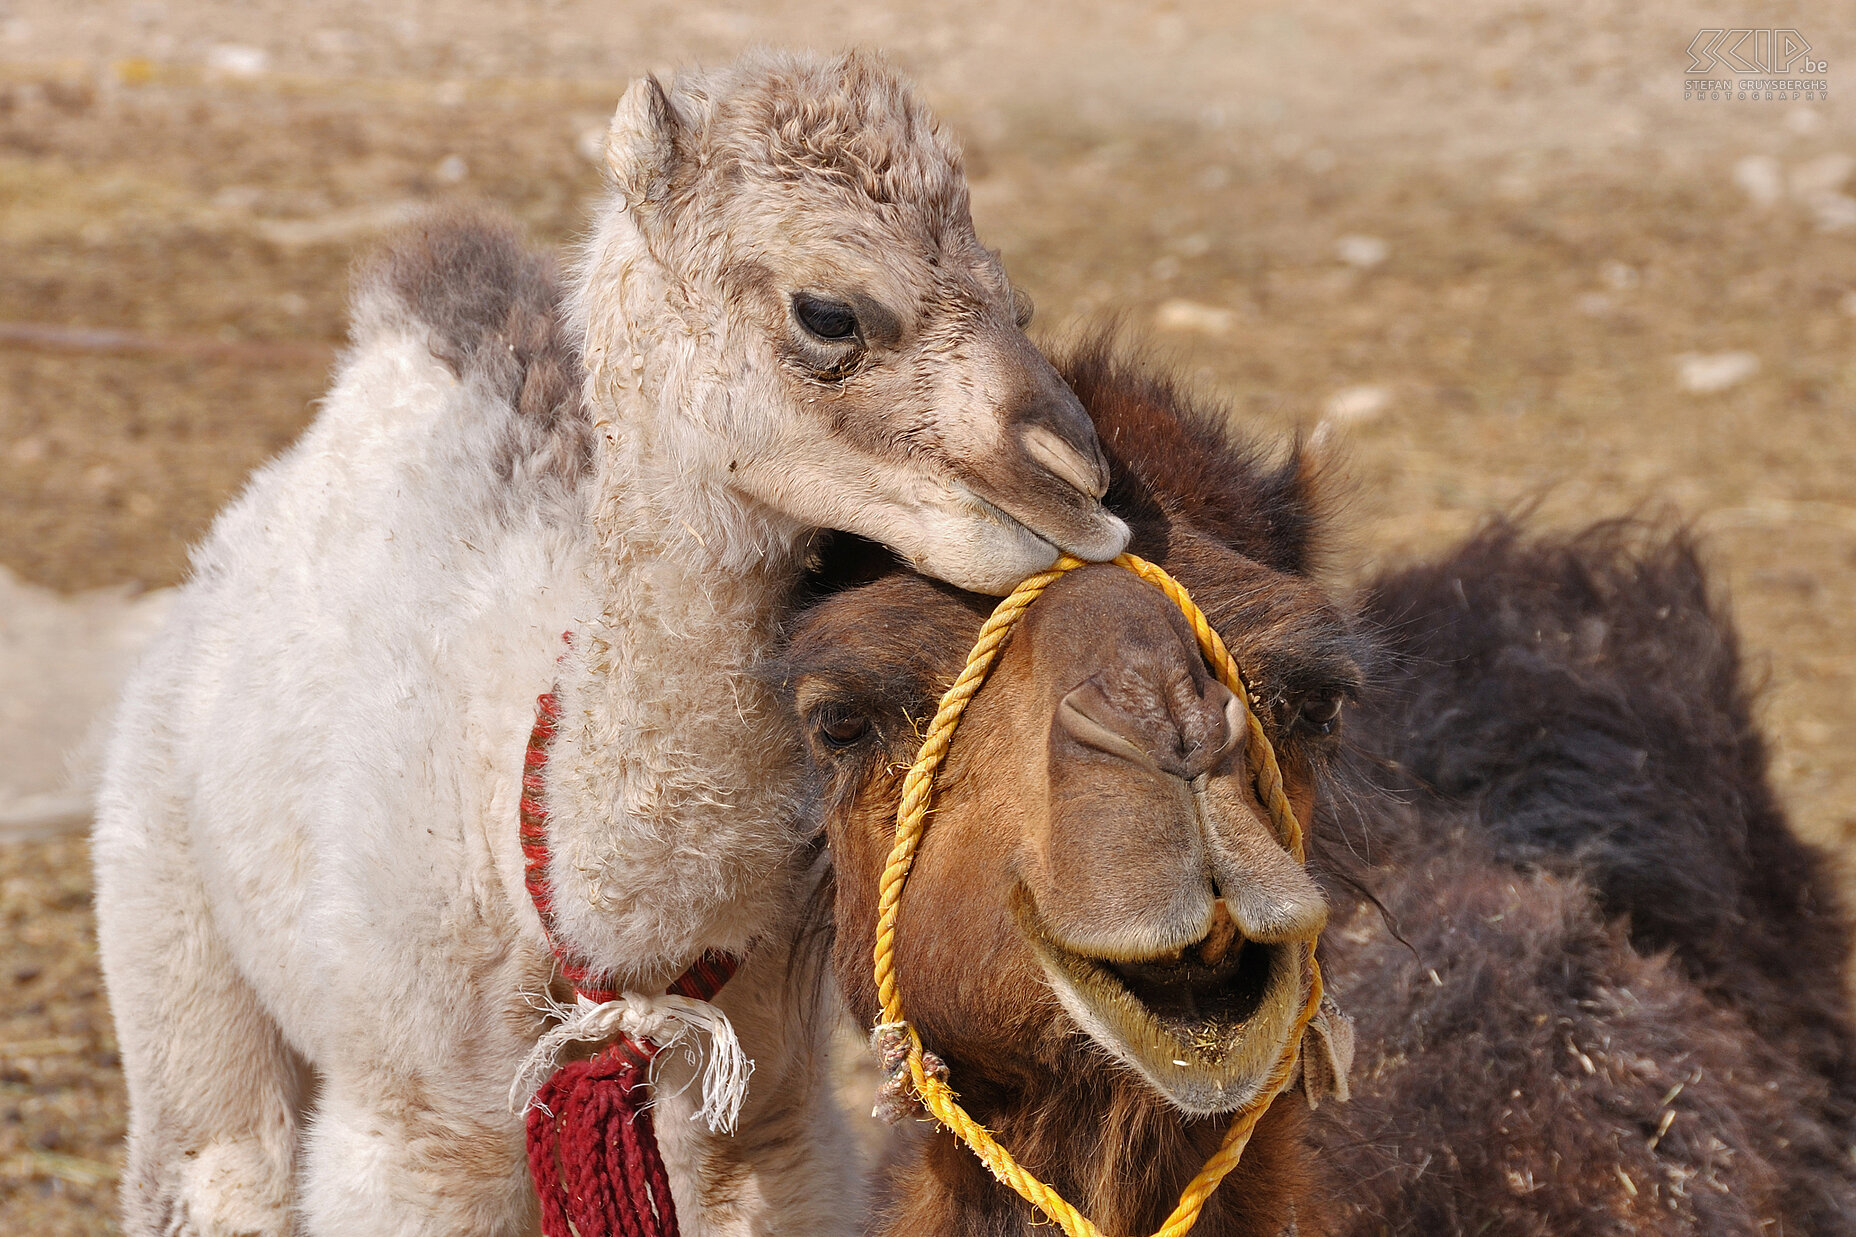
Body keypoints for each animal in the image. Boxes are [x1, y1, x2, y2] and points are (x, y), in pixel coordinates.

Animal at [94, 52, 1128, 1233]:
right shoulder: (413, 1135)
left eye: (1016, 298)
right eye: (828, 312)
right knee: (219, 1154)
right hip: (163, 899)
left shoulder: (763, 1122)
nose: (1081, 482)